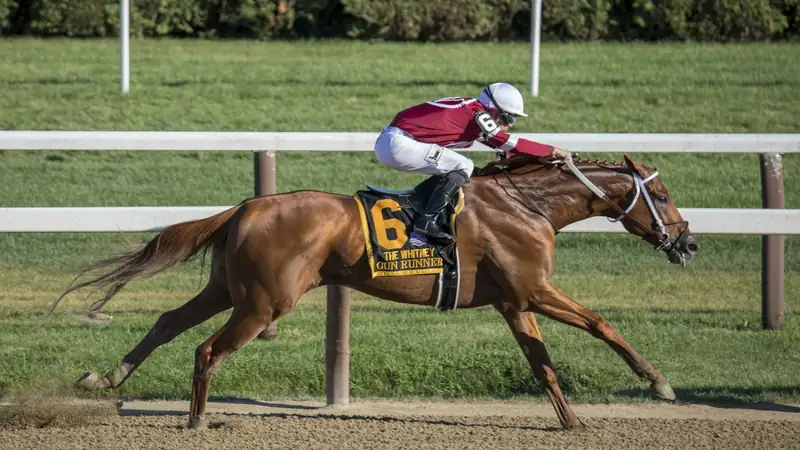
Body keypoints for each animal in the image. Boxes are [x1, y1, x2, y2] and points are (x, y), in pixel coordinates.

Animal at [50, 153, 698, 430]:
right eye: (663, 196)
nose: (688, 243)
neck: (528, 205)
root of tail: (246, 207)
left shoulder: (515, 302)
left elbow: (542, 365)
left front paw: (571, 423)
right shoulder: (535, 291)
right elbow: (602, 324)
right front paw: (659, 382)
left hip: (228, 291)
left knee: (166, 321)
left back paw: (105, 377)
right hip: (263, 303)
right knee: (207, 349)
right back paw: (195, 423)